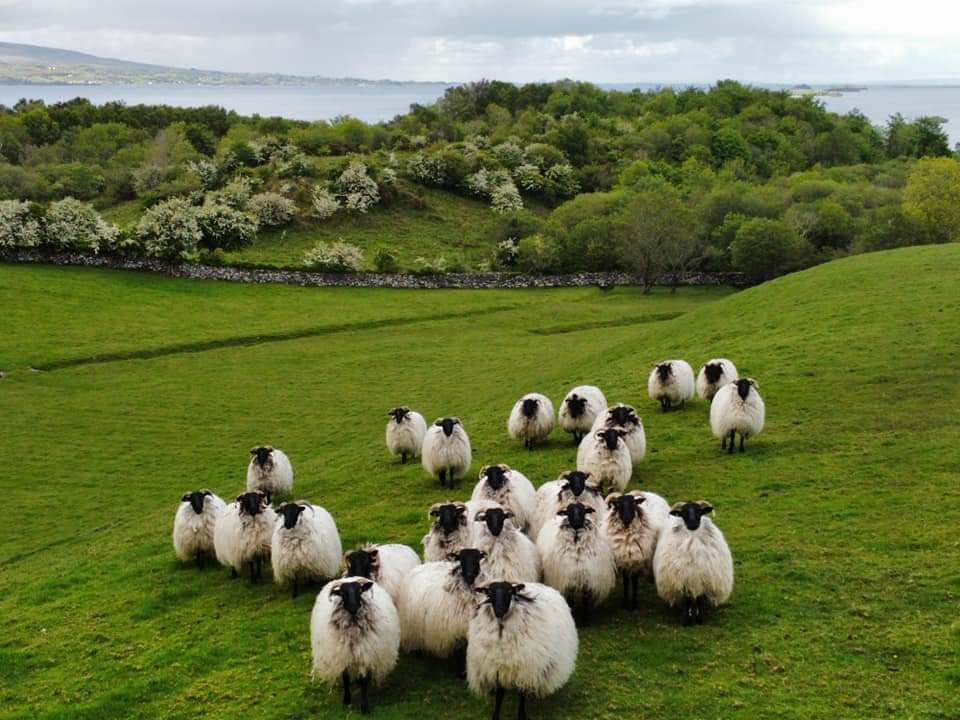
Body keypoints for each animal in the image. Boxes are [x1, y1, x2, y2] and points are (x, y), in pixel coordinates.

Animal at [311, 577, 400, 715]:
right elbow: (346, 677)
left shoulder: (365, 654)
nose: (353, 607)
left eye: (360, 590)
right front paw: (347, 699)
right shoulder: (343, 655)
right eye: (342, 593)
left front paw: (365, 707)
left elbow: (364, 680)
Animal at [468, 581, 578, 720]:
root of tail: (544, 586)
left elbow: (522, 694)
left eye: (510, 591)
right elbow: (499, 695)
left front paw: (521, 715)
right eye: (489, 593)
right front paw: (495, 716)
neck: (501, 630)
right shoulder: (498, 668)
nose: (499, 610)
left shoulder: (525, 668)